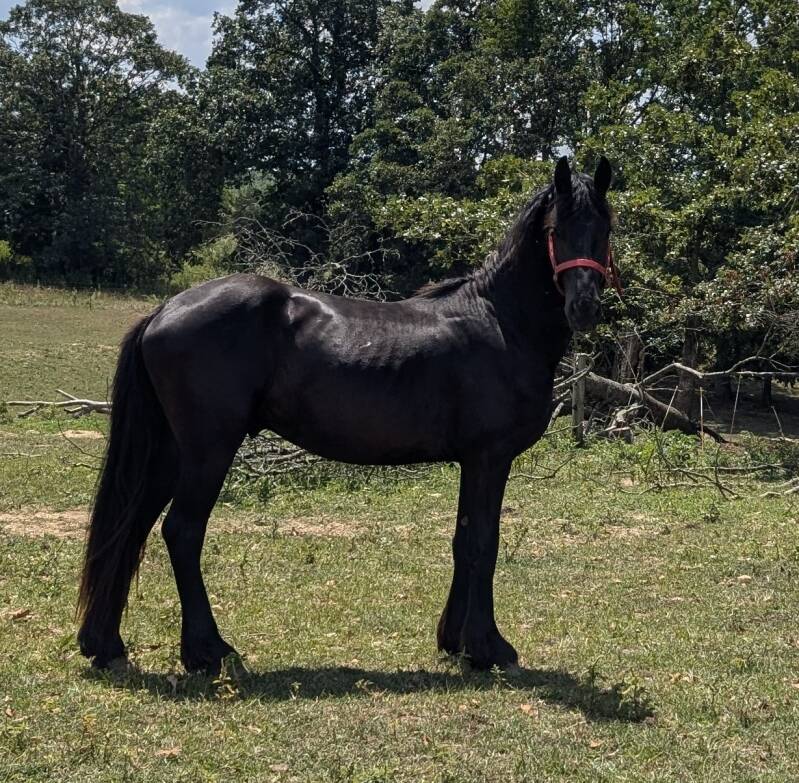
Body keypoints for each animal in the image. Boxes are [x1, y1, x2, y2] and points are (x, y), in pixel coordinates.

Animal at [77, 156, 617, 673]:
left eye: (605, 228)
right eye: (556, 230)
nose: (584, 306)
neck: (501, 322)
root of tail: (165, 309)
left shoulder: (472, 461)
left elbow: (463, 539)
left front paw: (455, 642)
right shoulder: (490, 457)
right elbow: (484, 542)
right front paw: (489, 648)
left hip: (170, 451)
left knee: (132, 524)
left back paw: (105, 645)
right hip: (209, 449)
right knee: (182, 532)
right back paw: (209, 651)